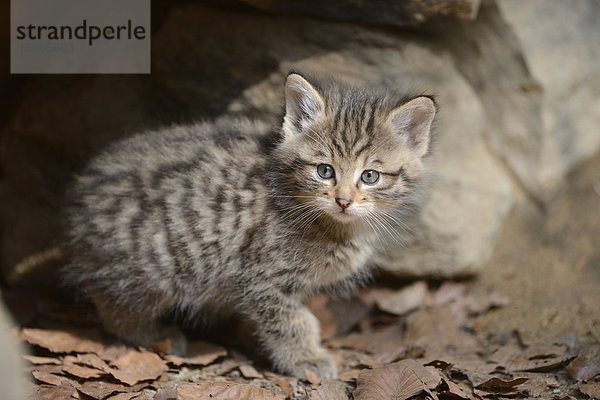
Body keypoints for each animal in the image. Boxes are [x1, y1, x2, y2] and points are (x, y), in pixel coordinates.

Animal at [62, 72, 436, 378]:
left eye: (370, 176)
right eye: (324, 170)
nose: (343, 200)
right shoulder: (261, 274)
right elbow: (291, 321)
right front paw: (306, 359)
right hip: (155, 266)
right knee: (111, 302)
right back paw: (155, 335)